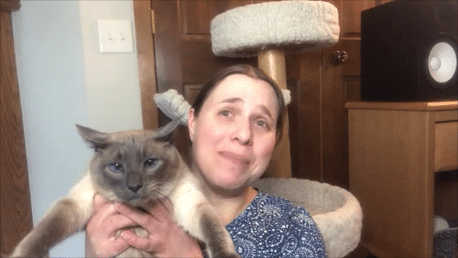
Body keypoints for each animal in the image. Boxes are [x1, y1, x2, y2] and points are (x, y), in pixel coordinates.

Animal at [10, 120, 240, 258]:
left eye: (150, 163)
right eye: (116, 167)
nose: (134, 186)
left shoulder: (189, 203)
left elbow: (213, 229)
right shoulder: (77, 203)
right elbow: (44, 231)